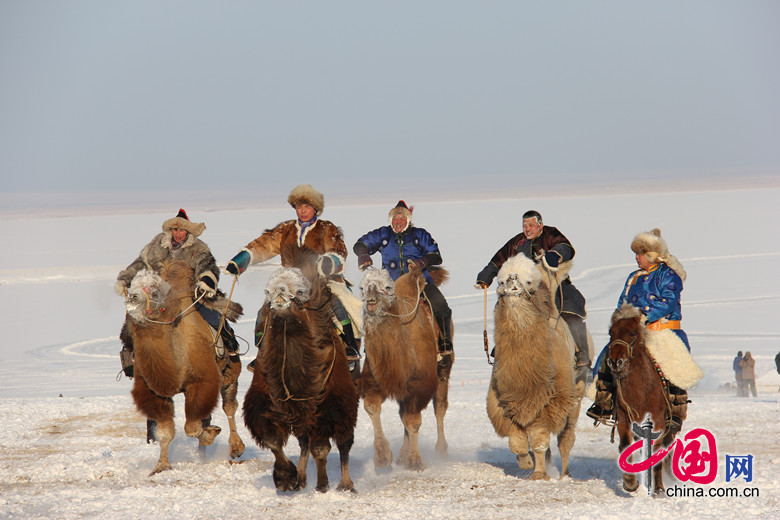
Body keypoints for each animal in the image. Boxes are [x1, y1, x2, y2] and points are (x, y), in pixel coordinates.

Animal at [124, 262, 244, 478]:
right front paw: (160, 466)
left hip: (230, 370)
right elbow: (165, 432)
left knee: (229, 406)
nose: (132, 297)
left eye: (154, 291)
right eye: (131, 285)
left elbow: (192, 427)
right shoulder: (155, 393)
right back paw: (202, 453)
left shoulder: (201, 382)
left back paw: (236, 447)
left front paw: (211, 434)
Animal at [358, 264, 450, 472]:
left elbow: (413, 421)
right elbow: (372, 407)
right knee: (403, 413)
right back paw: (401, 455)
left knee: (439, 408)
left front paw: (415, 461)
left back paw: (441, 451)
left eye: (387, 287)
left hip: (443, 372)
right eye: (362, 287)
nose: (371, 300)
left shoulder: (419, 383)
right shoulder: (376, 379)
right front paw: (383, 457)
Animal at [488, 254, 580, 482]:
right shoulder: (503, 403)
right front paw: (526, 461)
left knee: (566, 439)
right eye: (500, 281)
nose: (512, 280)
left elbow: (539, 440)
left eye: (529, 281)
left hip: (576, 396)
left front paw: (539, 474)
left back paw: (565, 474)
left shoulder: (550, 401)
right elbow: (517, 441)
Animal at [608, 304, 680, 496]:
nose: (615, 362)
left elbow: (656, 454)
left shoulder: (659, 423)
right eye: (611, 332)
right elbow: (626, 445)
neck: (641, 392)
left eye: (633, 333)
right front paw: (630, 483)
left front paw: (659, 489)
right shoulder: (625, 420)